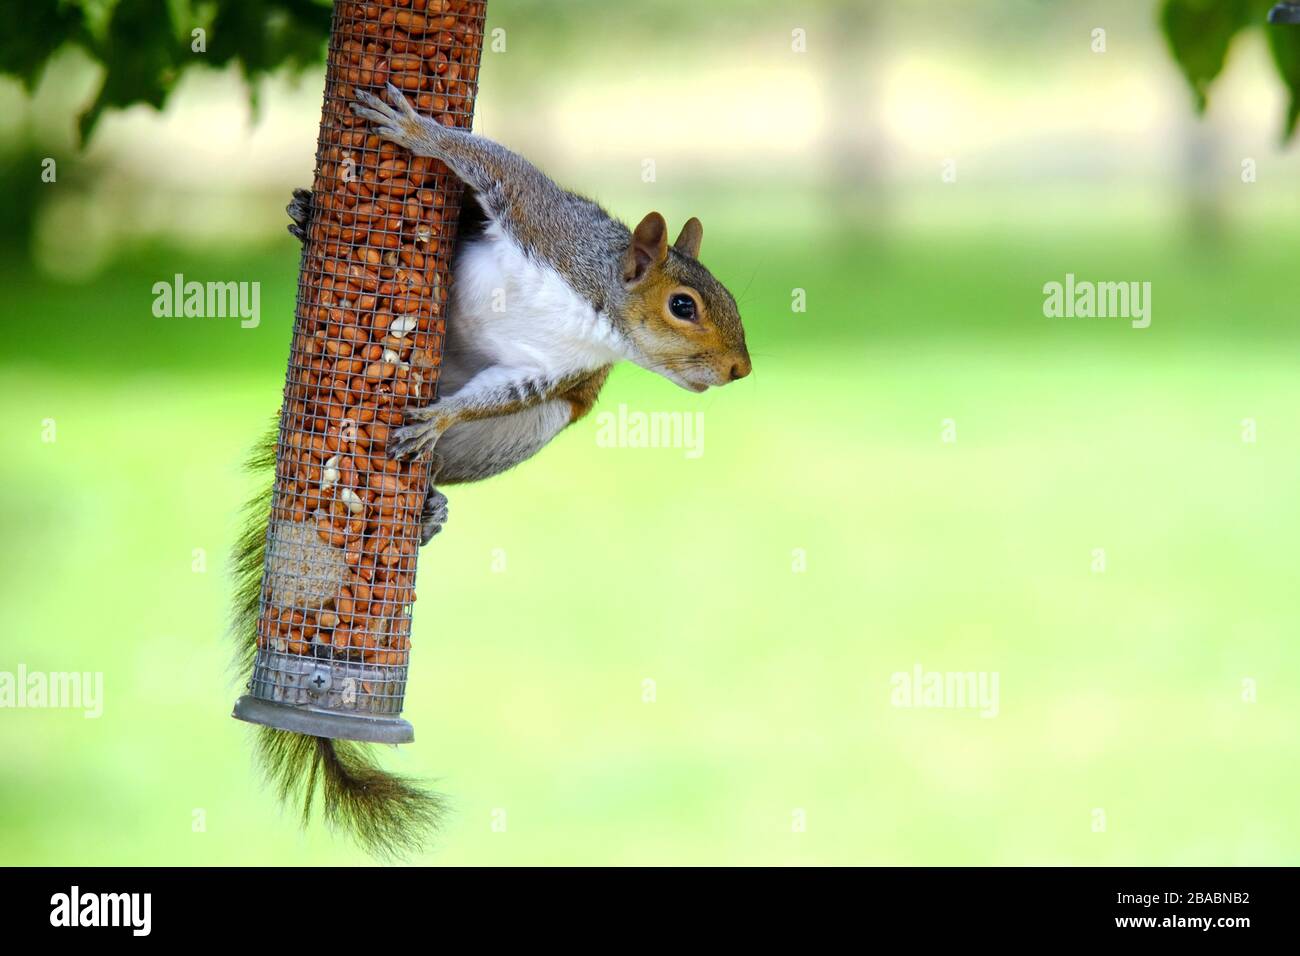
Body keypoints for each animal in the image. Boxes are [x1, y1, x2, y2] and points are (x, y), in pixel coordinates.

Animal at [235, 84, 751, 857]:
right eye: (683, 305)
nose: (740, 368)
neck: (596, 307)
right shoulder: (539, 221)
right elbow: (491, 166)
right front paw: (416, 129)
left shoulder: (546, 373)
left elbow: (491, 395)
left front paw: (439, 419)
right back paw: (302, 219)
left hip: (533, 426)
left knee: (448, 466)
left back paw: (427, 509)